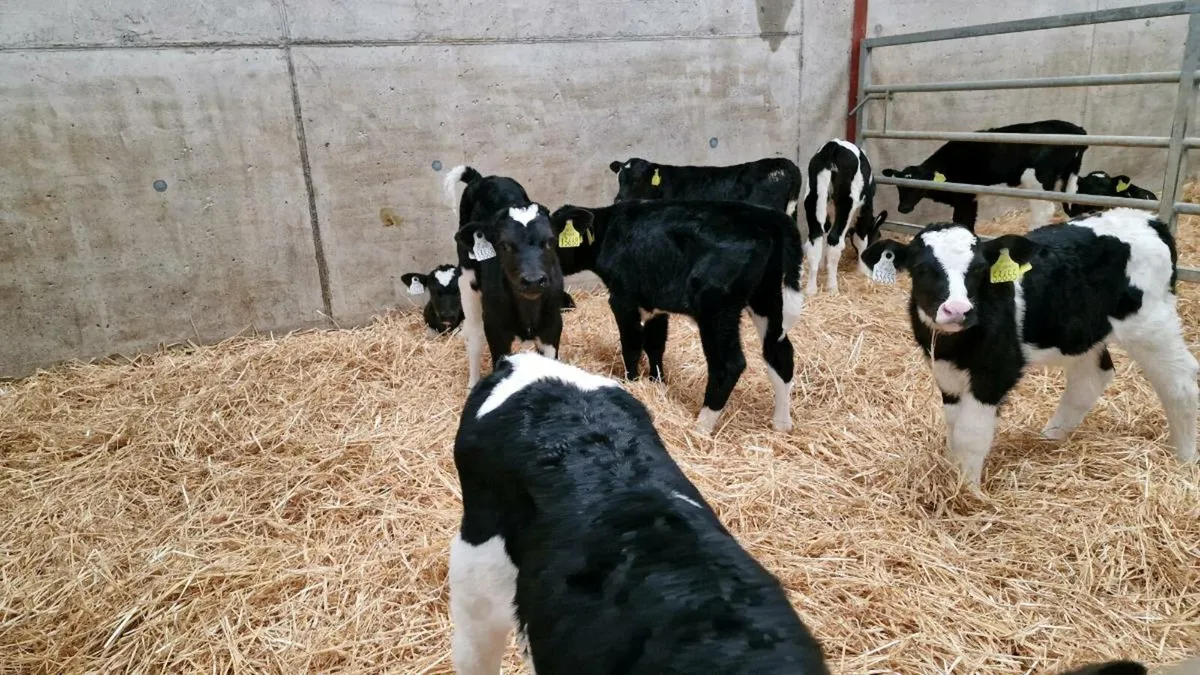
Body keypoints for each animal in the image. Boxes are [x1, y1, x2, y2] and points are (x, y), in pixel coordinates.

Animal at [444, 165, 566, 386]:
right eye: (504, 245)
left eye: (550, 241)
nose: (533, 280)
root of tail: (484, 179)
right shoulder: (496, 329)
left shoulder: (553, 325)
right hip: (467, 279)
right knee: (474, 335)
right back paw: (472, 382)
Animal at [548, 200, 803, 433]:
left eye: (550, 241)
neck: (608, 231)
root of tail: (764, 216)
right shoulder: (655, 304)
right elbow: (655, 345)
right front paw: (656, 383)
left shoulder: (623, 299)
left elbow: (631, 345)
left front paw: (632, 382)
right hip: (766, 298)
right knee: (779, 352)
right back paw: (782, 425)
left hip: (717, 308)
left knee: (729, 364)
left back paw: (701, 427)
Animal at [803, 139, 888, 295]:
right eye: (878, 235)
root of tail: (833, 145)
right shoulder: (865, 209)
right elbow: (861, 239)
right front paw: (862, 270)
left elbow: (824, 239)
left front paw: (823, 266)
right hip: (847, 203)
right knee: (835, 240)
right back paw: (832, 288)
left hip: (813, 199)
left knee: (815, 240)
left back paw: (811, 290)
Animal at [860, 208, 1197, 485]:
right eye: (920, 269)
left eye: (980, 269)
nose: (958, 310)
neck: (956, 345)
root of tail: (1151, 220)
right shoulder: (945, 371)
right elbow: (954, 428)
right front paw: (952, 476)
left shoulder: (996, 372)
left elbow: (970, 434)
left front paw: (967, 494)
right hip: (1082, 330)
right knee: (1091, 377)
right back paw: (1050, 439)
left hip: (1152, 323)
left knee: (1180, 383)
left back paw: (1185, 459)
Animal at [881, 120, 1088, 228]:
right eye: (899, 187)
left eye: (918, 187)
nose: (903, 208)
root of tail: (1077, 129)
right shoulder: (971, 199)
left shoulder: (964, 198)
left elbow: (963, 221)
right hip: (1067, 178)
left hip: (1038, 183)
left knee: (1044, 211)